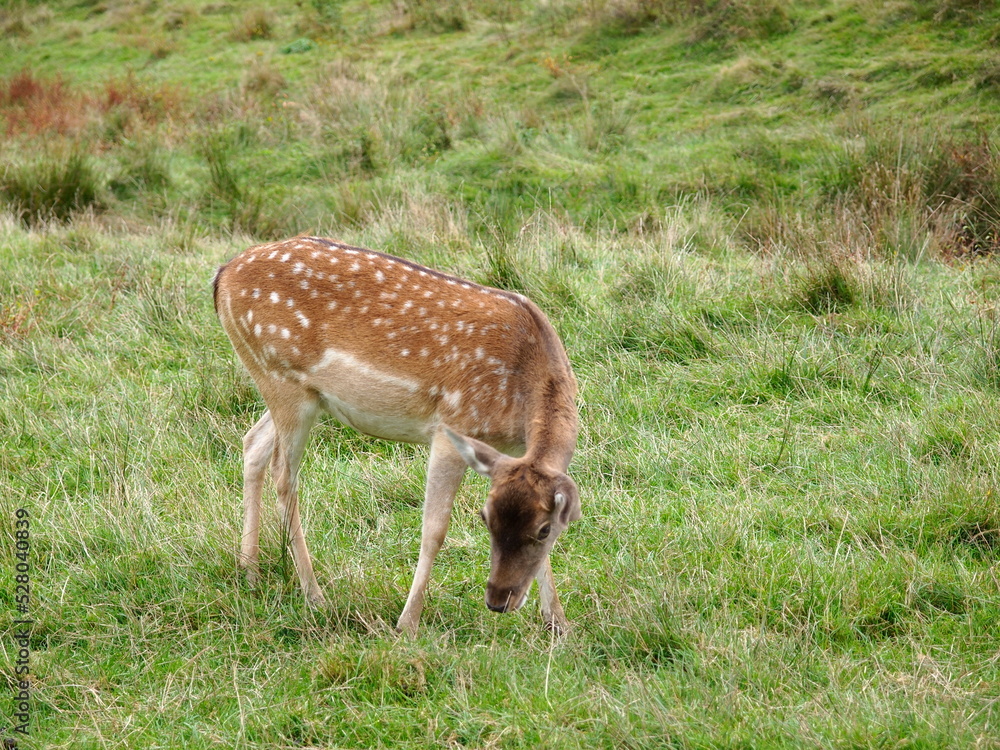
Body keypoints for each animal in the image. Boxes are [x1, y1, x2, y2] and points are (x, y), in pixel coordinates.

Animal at [215, 238, 584, 636]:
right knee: (284, 475)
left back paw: (250, 571)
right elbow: (434, 530)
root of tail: (222, 276)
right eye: (484, 518)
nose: (499, 601)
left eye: (544, 530)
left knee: (253, 443)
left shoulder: (512, 454)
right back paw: (314, 595)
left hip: (297, 391)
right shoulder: (451, 427)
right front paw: (408, 624)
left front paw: (559, 623)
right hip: (281, 377)